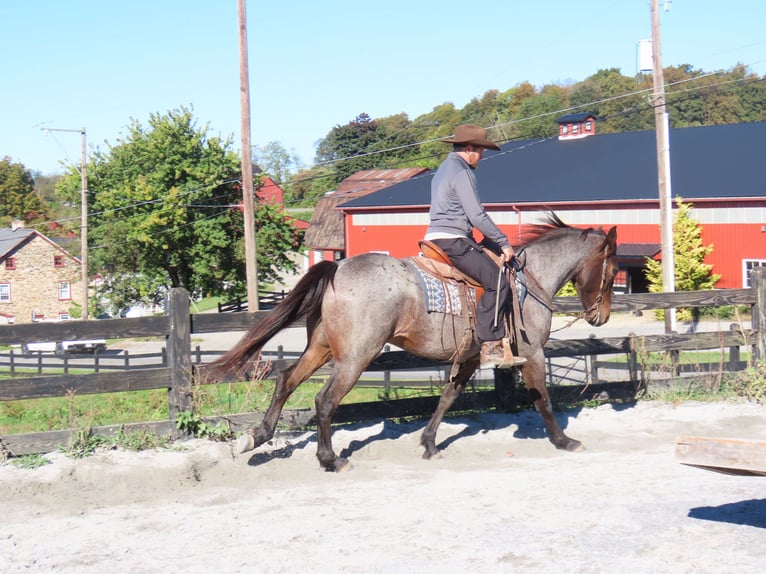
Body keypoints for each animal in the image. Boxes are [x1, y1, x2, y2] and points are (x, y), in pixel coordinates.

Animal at [208, 214, 618, 472]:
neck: (527, 284)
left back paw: (257, 437)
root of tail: (337, 266)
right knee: (325, 400)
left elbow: (448, 398)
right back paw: (330, 459)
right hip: (356, 357)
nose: (601, 317)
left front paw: (429, 444)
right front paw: (564, 440)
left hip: (320, 349)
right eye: (613, 271)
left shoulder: (469, 357)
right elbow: (543, 400)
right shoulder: (532, 354)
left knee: (286, 380)